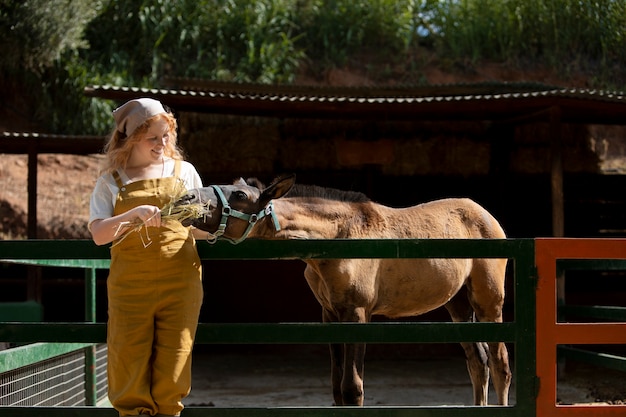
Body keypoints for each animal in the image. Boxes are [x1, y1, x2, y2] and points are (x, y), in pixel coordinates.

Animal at [178, 174, 510, 404]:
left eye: (239, 194)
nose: (187, 198)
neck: (336, 238)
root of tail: (488, 216)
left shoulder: (357, 313)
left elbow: (352, 388)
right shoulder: (331, 315)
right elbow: (337, 388)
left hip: (489, 302)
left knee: (500, 363)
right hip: (458, 303)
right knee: (478, 361)